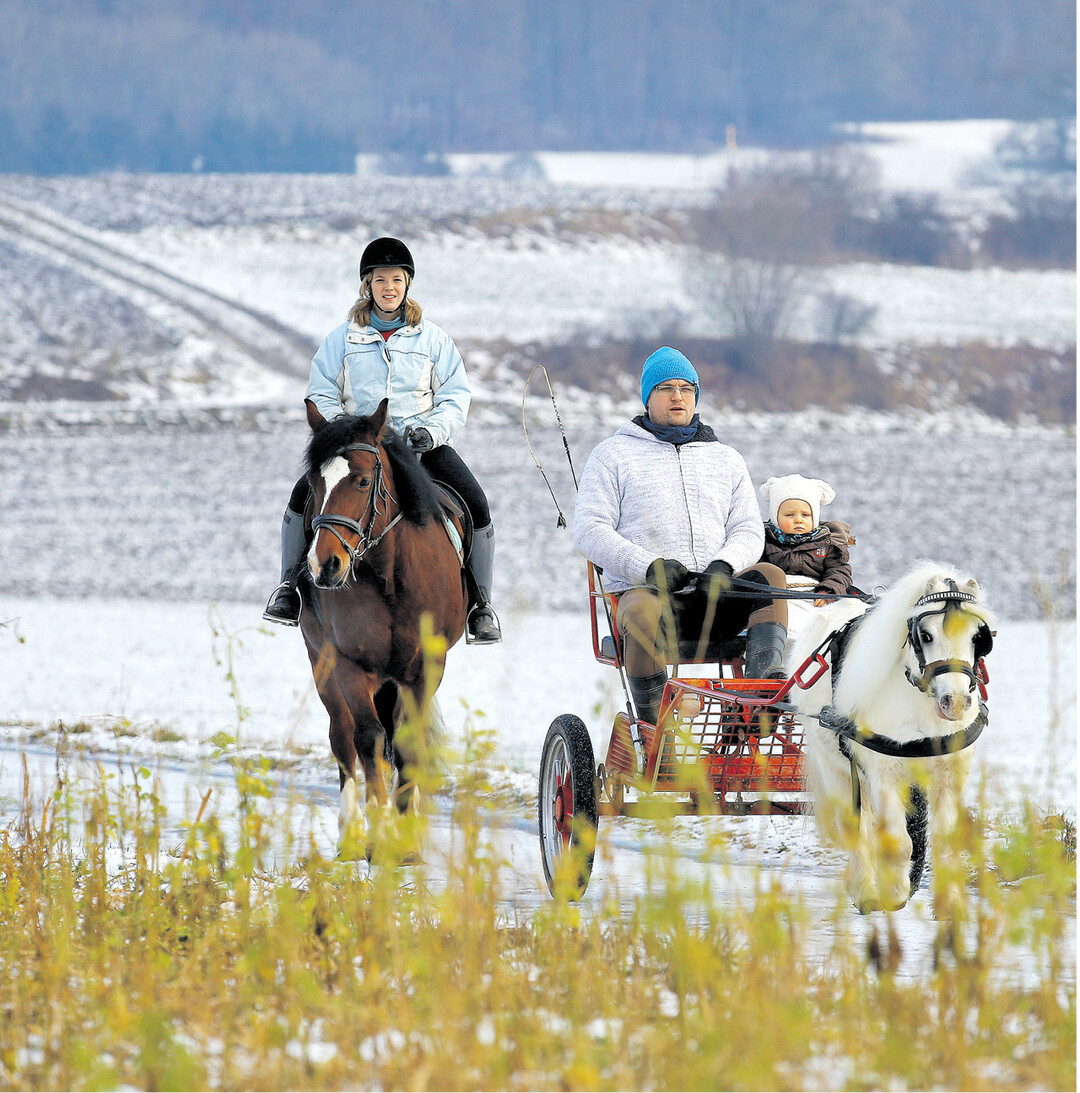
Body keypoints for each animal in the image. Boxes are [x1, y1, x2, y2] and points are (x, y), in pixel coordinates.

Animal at [298, 399, 468, 856]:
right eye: (313, 484)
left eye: (361, 481)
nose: (325, 565)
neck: (391, 575)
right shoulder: (349, 664)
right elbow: (368, 739)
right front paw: (380, 831)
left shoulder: (426, 667)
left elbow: (409, 744)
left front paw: (406, 840)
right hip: (322, 662)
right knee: (342, 736)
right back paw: (350, 833)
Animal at [791, 561, 995, 915]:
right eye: (926, 635)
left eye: (976, 638)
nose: (955, 702)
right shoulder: (884, 774)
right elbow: (897, 842)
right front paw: (894, 894)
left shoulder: (950, 774)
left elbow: (946, 838)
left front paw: (950, 904)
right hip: (837, 768)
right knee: (856, 826)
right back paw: (864, 889)